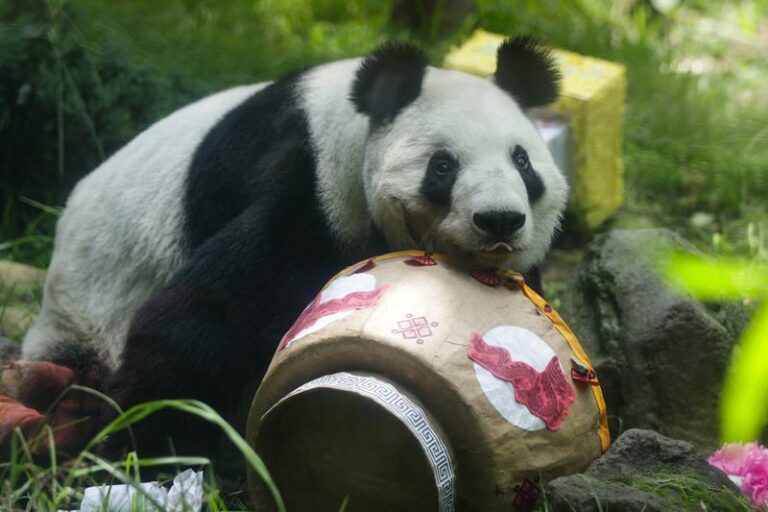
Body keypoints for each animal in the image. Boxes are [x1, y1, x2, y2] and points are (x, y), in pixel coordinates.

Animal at [21, 37, 567, 454]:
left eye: (522, 162)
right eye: (443, 166)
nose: (499, 220)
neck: (358, 122)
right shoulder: (314, 181)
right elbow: (204, 317)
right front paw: (130, 436)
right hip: (84, 313)